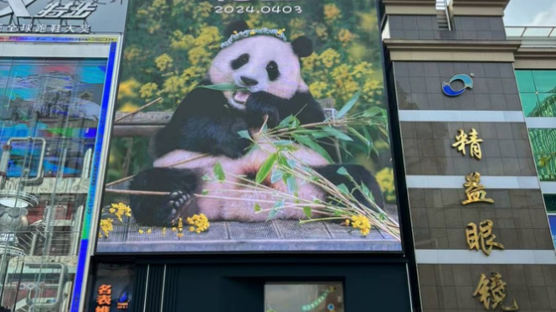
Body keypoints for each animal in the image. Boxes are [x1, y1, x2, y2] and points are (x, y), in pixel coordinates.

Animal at [128, 20, 384, 227]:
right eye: (241, 59)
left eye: (272, 67)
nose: (248, 80)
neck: (240, 108)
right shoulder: (202, 93)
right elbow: (180, 131)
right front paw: (237, 139)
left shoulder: (302, 103)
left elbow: (320, 139)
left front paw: (263, 105)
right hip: (187, 169)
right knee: (148, 183)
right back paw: (174, 206)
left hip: (313, 174)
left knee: (355, 180)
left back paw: (359, 214)